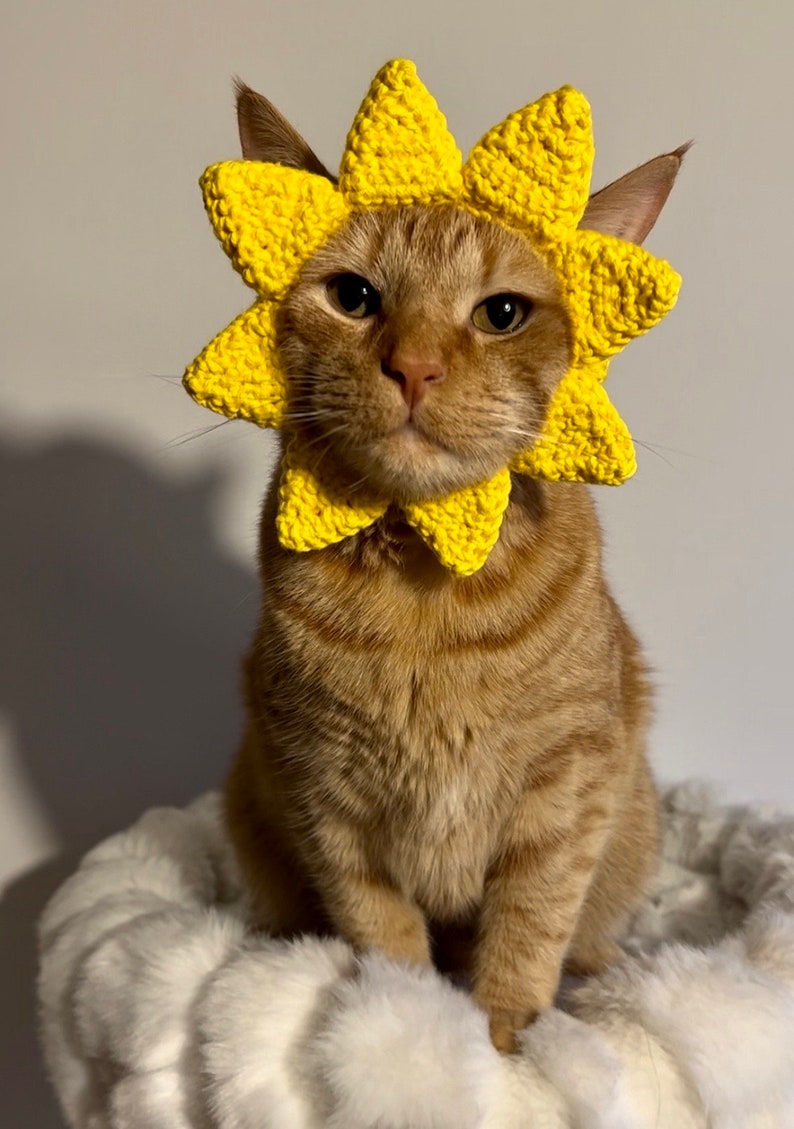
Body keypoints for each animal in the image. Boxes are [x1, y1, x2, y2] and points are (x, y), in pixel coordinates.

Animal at [223, 83, 682, 1052]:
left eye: (500, 314)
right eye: (354, 297)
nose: (415, 366)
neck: (423, 591)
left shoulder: (565, 790)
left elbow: (528, 927)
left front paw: (510, 1046)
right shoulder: (326, 799)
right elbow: (384, 933)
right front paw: (407, 1028)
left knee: (584, 939)